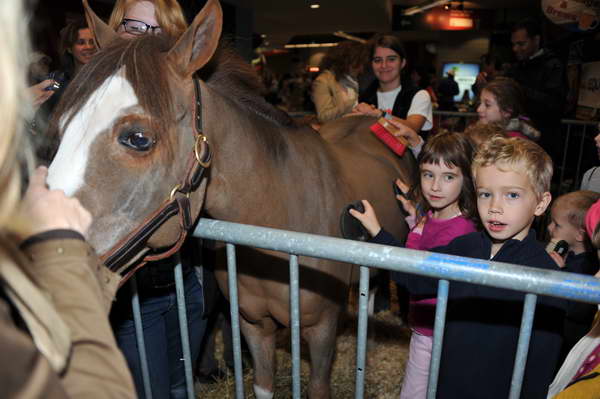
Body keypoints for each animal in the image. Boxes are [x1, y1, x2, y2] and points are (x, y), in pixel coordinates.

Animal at [47, 1, 414, 398]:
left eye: (138, 138)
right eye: (61, 128)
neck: (279, 224)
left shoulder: (322, 330)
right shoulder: (253, 325)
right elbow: (262, 385)